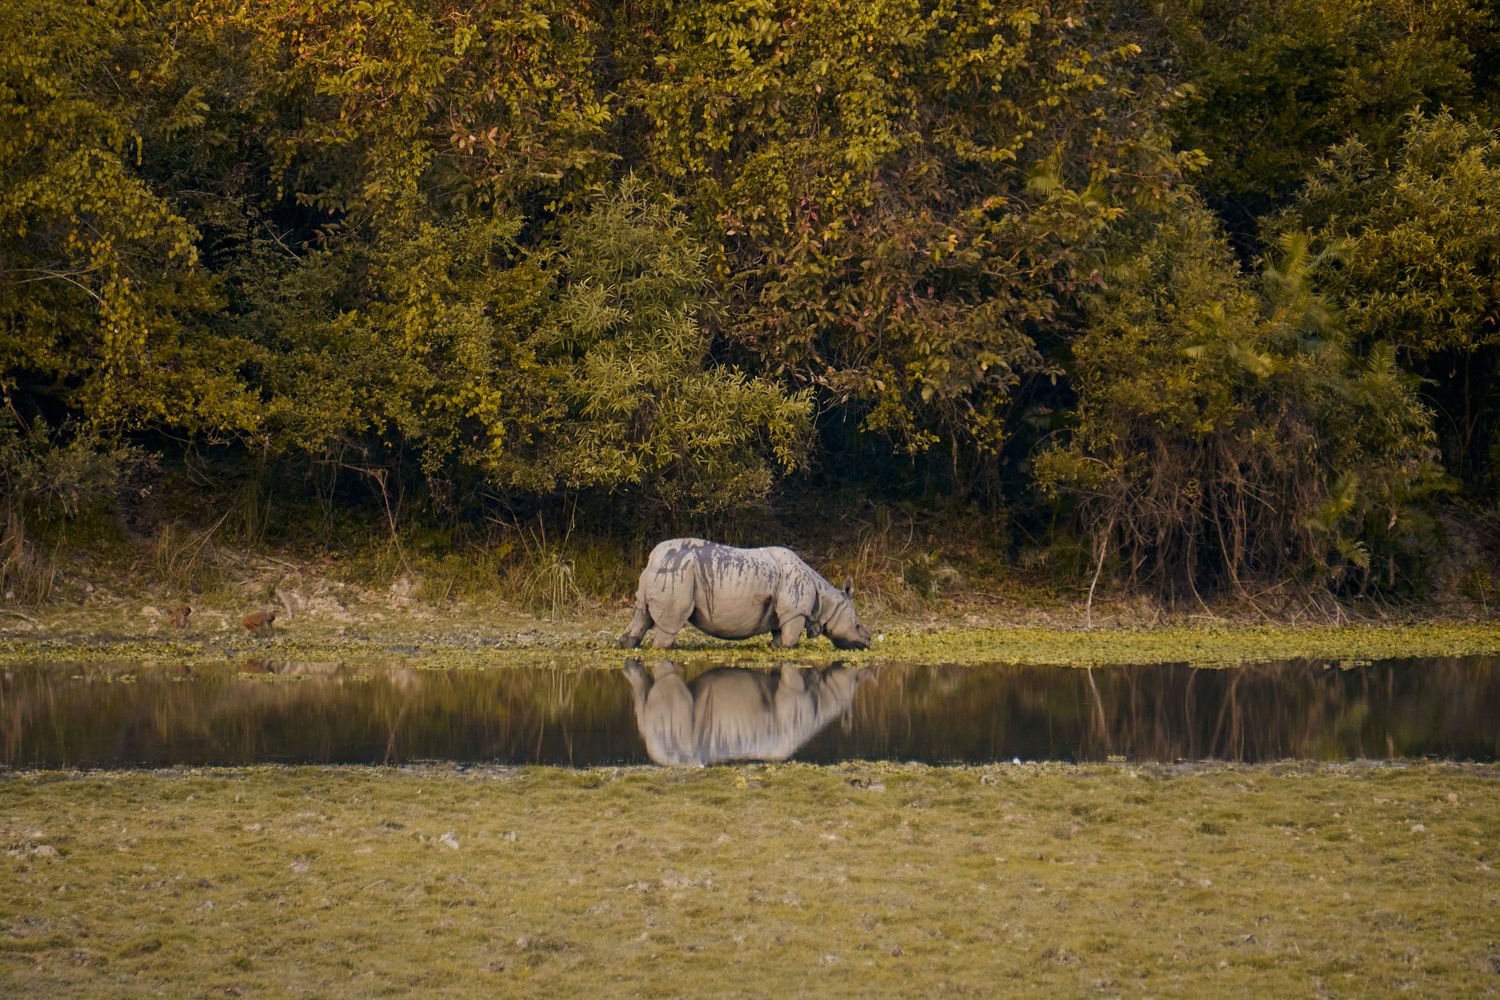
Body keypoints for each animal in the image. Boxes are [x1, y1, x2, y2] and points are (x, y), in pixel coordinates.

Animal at [618, 538, 873, 650]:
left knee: (641, 615)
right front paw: (788, 649)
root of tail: (652, 557)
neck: (827, 601)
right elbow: (791, 640)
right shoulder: (796, 612)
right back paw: (663, 649)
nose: (867, 642)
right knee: (670, 624)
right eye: (858, 626)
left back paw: (628, 645)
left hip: (658, 572)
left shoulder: (782, 614)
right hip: (677, 573)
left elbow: (779, 637)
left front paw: (776, 648)